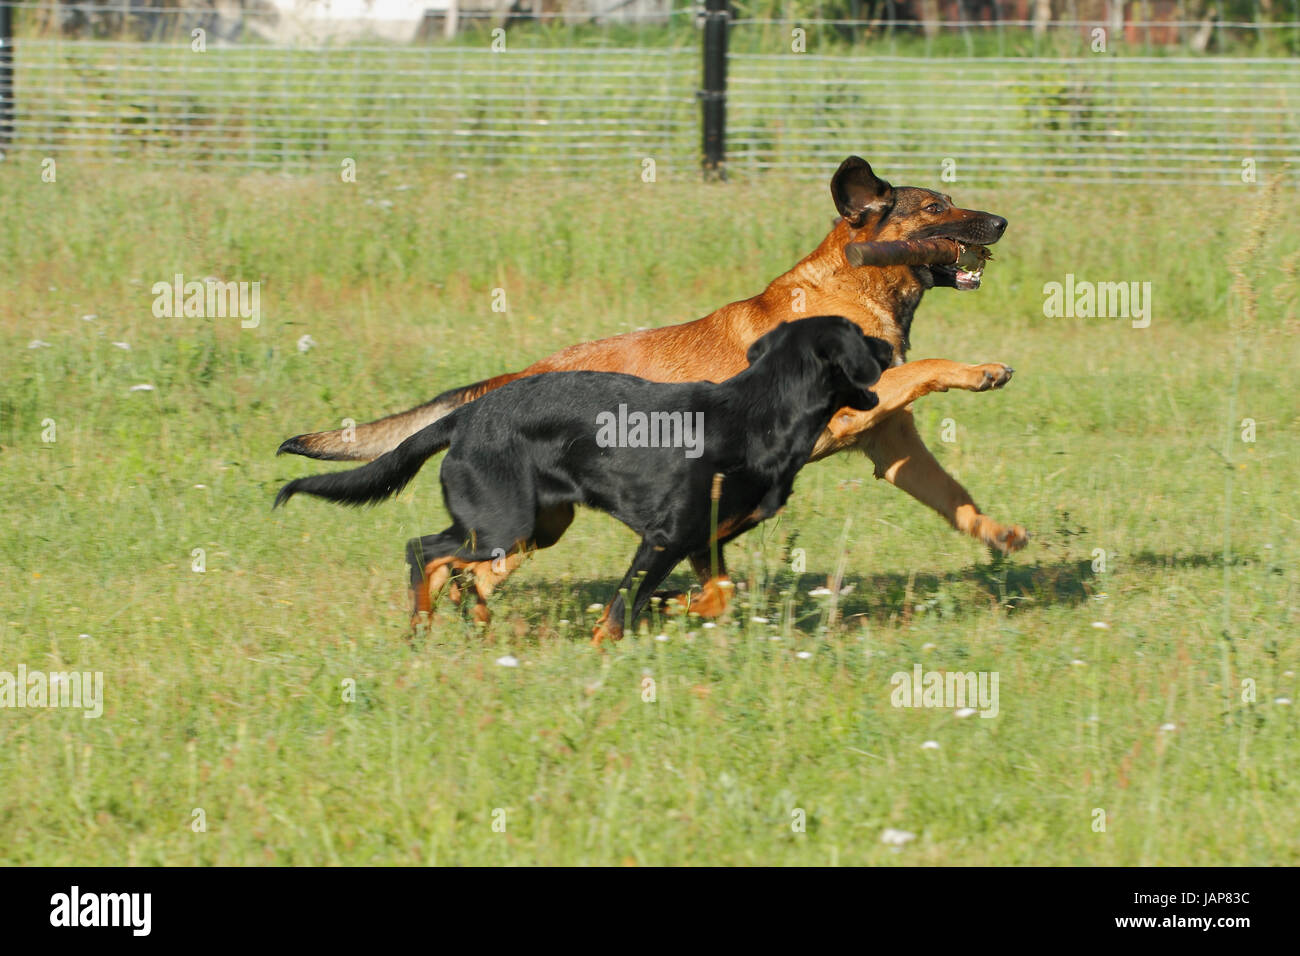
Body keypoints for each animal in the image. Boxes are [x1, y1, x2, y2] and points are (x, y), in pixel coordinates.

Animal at [271, 316, 883, 642]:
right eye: (861, 336)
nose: (889, 343)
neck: (760, 411)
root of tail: (464, 417)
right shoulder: (663, 538)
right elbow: (616, 615)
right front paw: (605, 650)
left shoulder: (703, 541)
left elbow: (718, 596)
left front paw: (668, 606)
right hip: (504, 523)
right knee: (423, 550)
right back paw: (423, 624)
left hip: (537, 526)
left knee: (453, 564)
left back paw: (470, 615)